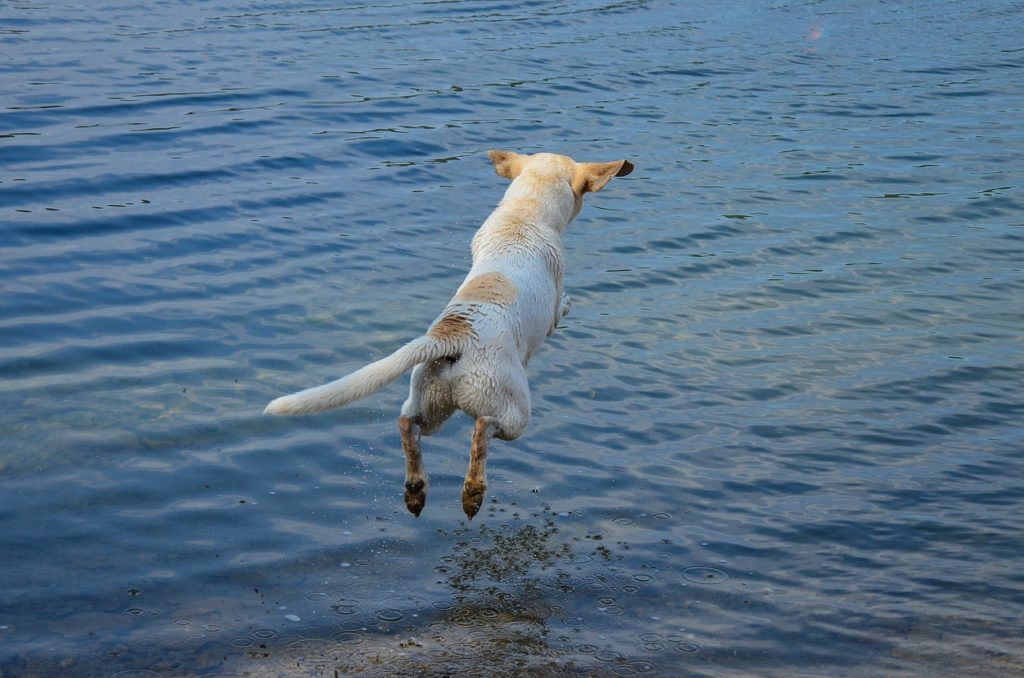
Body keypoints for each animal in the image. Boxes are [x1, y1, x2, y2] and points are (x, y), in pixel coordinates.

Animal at [264, 150, 630, 520]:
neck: (524, 215)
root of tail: (453, 334)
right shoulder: (553, 312)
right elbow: (562, 307)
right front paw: (570, 300)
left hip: (431, 404)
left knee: (407, 424)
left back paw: (416, 490)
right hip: (513, 411)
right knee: (482, 430)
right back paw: (472, 493)